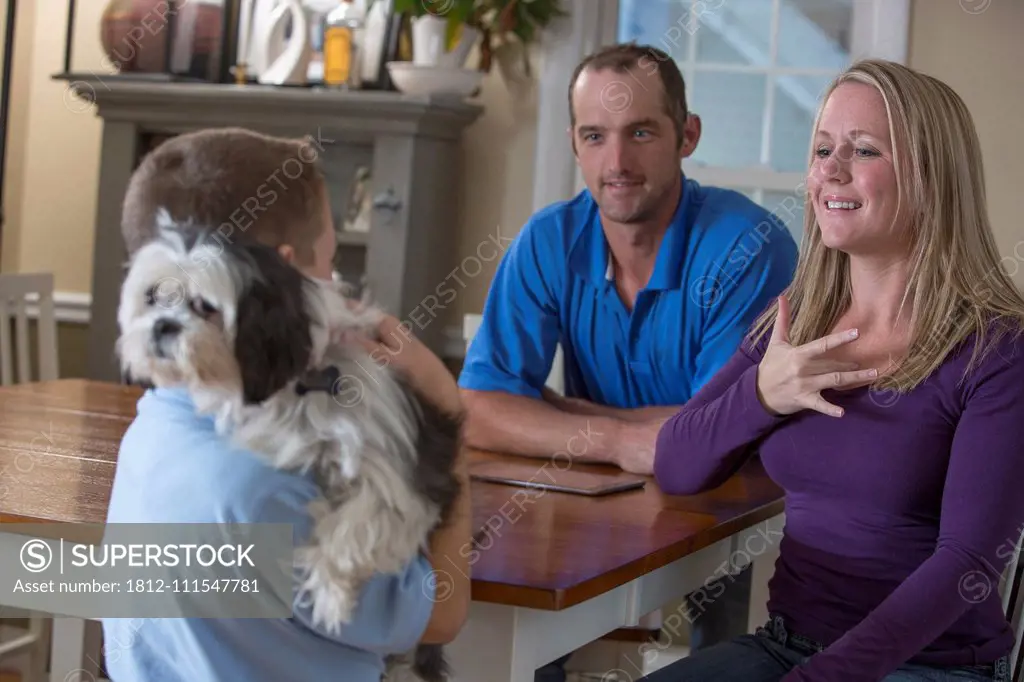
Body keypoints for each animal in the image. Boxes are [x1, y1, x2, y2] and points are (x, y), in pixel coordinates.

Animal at [115, 210, 460, 675]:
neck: (303, 384)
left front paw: (330, 590)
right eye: (153, 297)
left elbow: (362, 519)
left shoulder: (400, 463)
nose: (162, 325)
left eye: (205, 307)